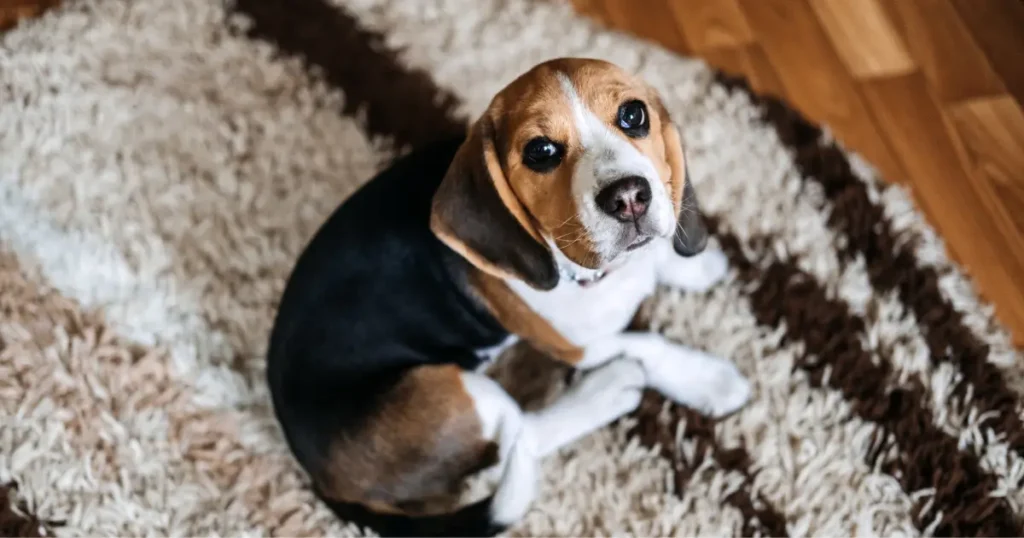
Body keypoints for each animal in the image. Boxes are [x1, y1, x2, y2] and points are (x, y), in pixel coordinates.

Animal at [268, 56, 749, 532]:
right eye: (541, 151)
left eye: (633, 115)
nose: (629, 196)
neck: (587, 270)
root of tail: (321, 481)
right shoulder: (578, 347)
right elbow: (648, 342)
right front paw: (710, 379)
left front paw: (694, 265)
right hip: (460, 394)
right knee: (520, 440)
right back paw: (610, 388)